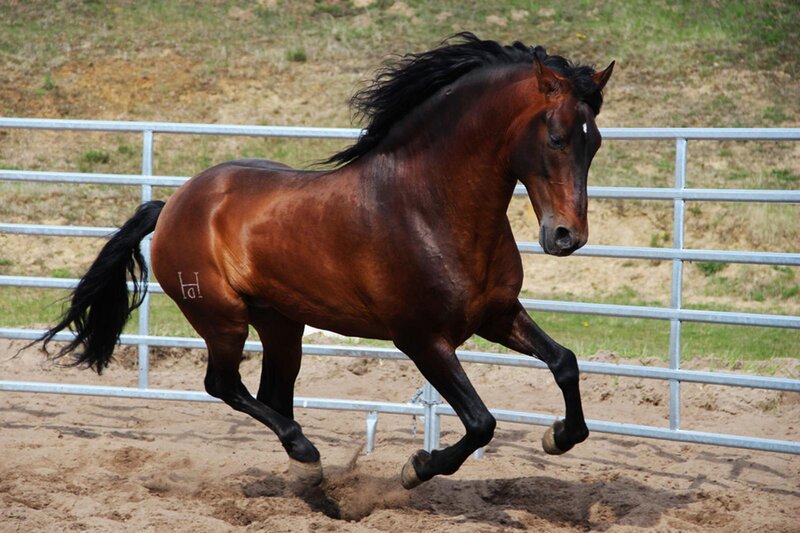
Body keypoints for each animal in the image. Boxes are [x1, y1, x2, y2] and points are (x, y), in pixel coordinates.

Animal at [38, 33, 613, 489]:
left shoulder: (496, 315)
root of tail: (175, 201)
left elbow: (565, 363)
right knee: (224, 386)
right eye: (556, 137)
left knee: (270, 392)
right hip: (223, 319)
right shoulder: (422, 339)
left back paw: (306, 472)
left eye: (596, 144)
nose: (567, 236)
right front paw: (415, 468)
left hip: (281, 323)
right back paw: (307, 455)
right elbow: (480, 423)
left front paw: (558, 437)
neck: (428, 206)